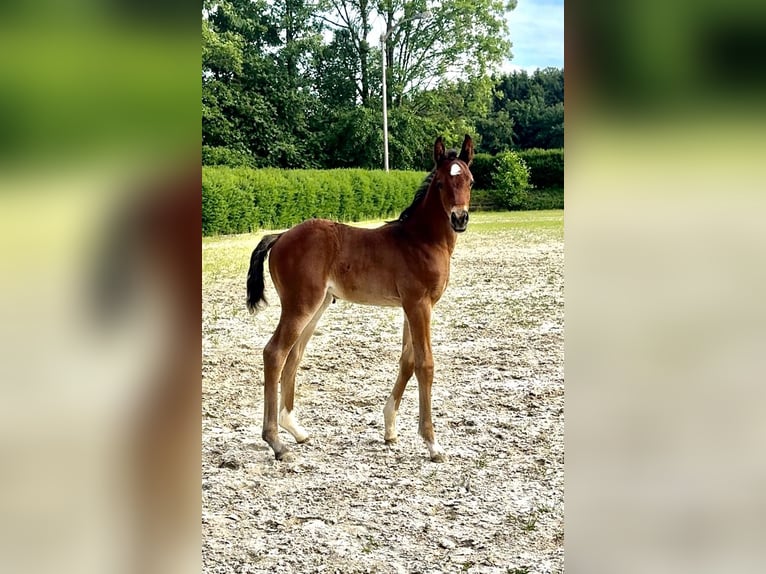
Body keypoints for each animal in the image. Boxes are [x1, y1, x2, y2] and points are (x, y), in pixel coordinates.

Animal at [248, 135, 474, 464]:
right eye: (442, 183)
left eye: (470, 180)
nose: (459, 218)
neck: (421, 240)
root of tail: (280, 236)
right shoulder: (419, 305)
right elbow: (425, 364)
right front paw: (432, 444)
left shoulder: (411, 307)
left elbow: (407, 361)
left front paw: (390, 428)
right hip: (300, 305)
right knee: (275, 353)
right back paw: (277, 443)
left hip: (316, 307)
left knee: (294, 356)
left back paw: (296, 430)